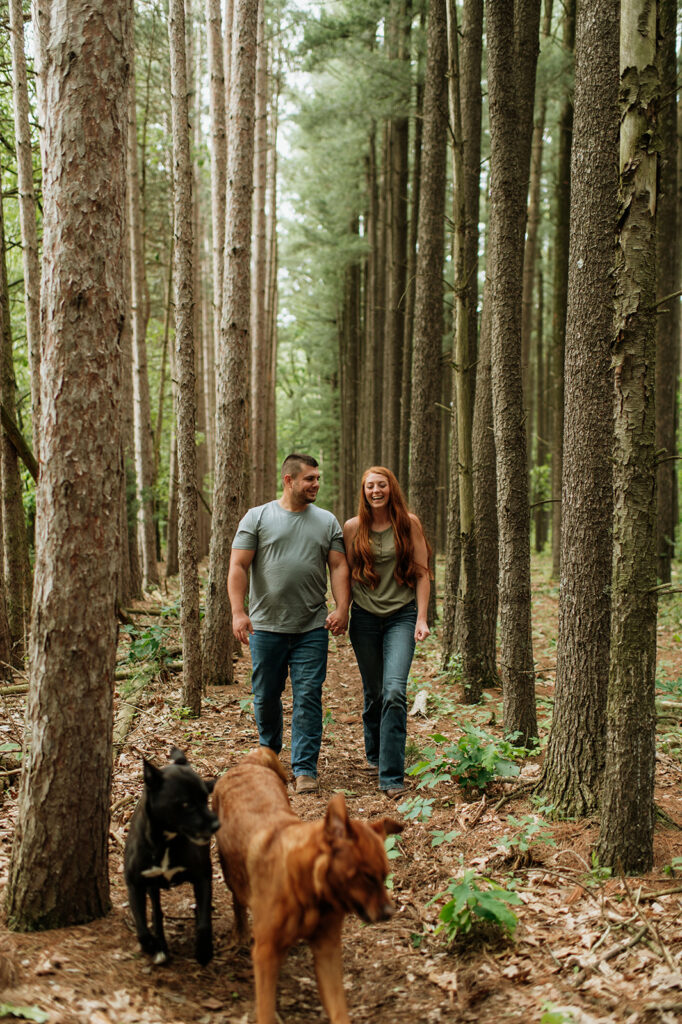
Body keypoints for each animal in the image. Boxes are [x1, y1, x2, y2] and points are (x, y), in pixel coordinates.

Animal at [122, 749, 218, 962]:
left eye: (205, 798)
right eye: (186, 804)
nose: (216, 824)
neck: (165, 842)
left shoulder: (203, 876)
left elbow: (204, 922)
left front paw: (204, 950)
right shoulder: (135, 884)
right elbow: (142, 929)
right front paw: (153, 946)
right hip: (151, 886)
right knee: (157, 913)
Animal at [212, 745, 401, 1024]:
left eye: (384, 875)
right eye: (367, 876)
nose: (390, 913)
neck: (310, 891)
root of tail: (248, 762)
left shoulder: (327, 949)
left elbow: (339, 1009)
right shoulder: (266, 952)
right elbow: (265, 1010)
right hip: (229, 869)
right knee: (238, 900)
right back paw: (241, 934)